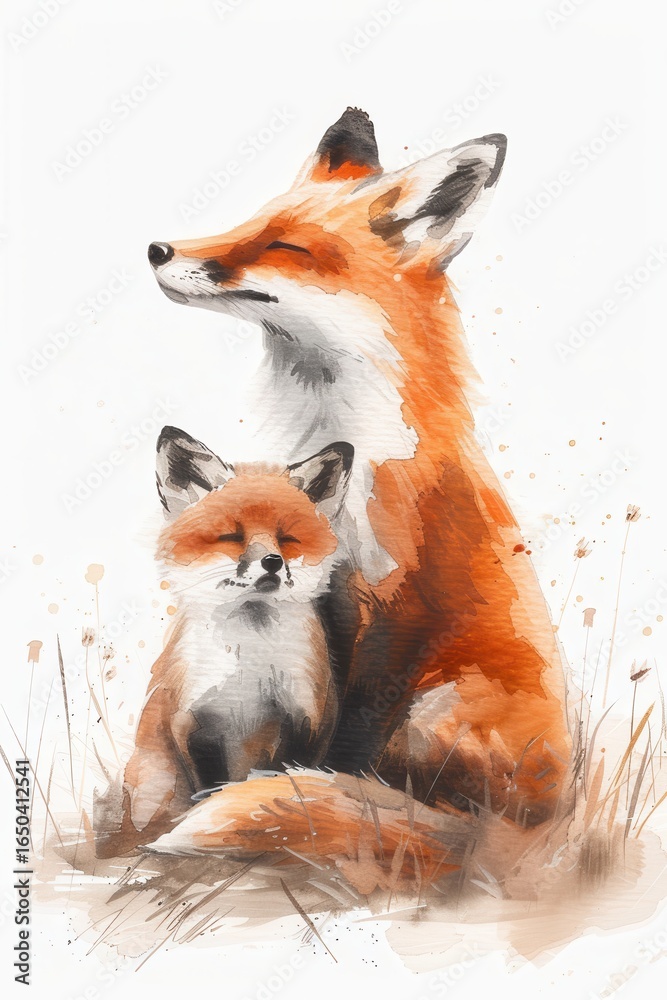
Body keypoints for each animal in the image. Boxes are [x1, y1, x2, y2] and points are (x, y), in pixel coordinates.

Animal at [94, 427, 353, 856]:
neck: (251, 667)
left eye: (286, 539)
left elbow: (288, 779)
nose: (272, 562)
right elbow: (210, 789)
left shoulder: (306, 718)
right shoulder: (194, 722)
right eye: (232, 536)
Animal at [141, 107, 573, 862]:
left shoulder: (387, 607)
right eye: (249, 220)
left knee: (449, 811)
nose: (157, 249)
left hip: (437, 707)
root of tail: (549, 821)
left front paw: (311, 795)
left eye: (284, 245)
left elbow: (345, 735)